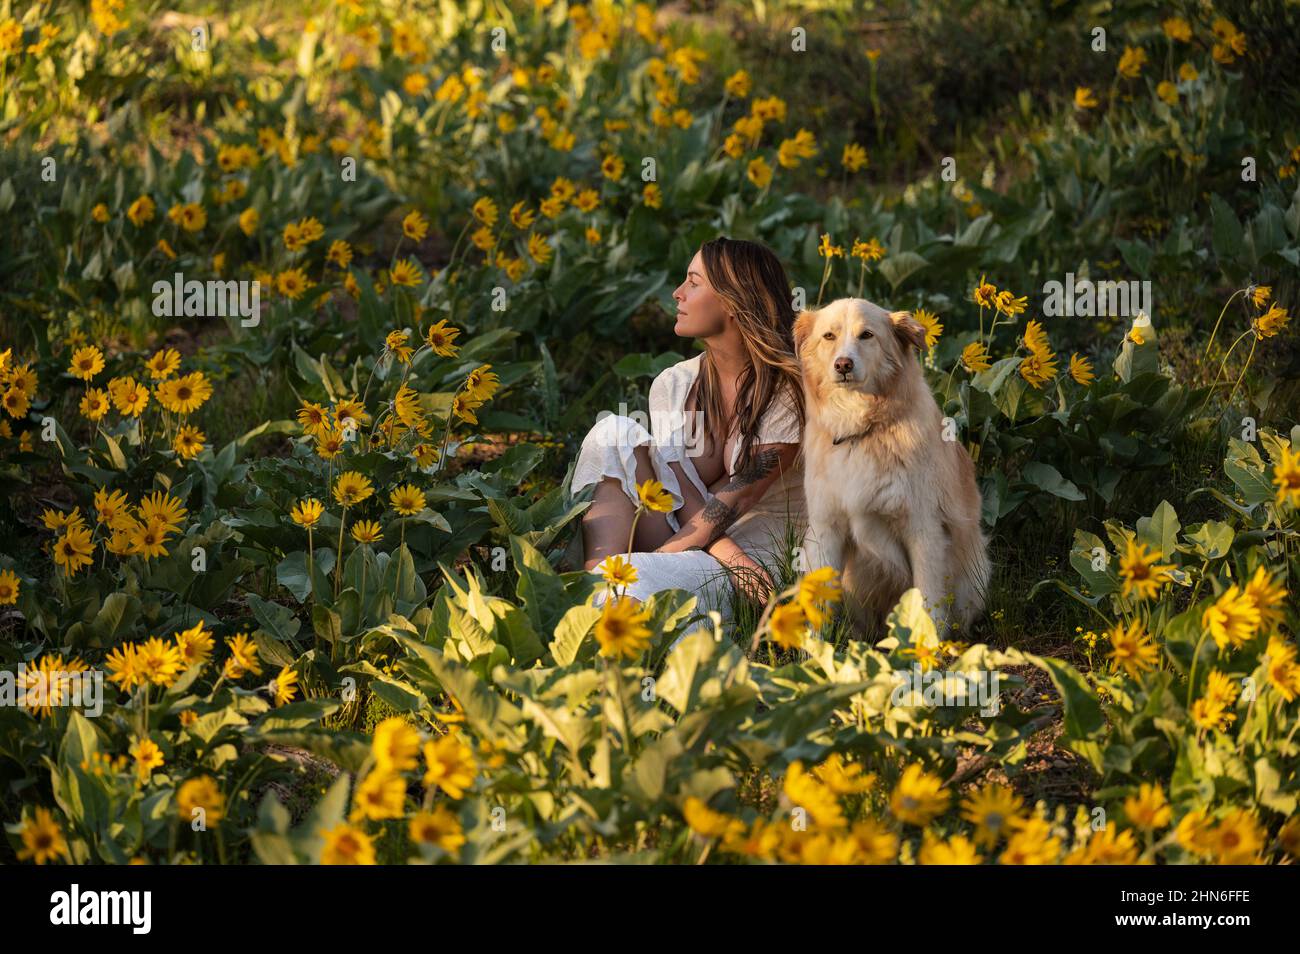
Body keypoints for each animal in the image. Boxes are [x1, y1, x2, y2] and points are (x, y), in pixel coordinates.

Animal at [790, 295, 993, 631]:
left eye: (867, 335)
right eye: (829, 336)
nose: (843, 365)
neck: (860, 432)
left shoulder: (924, 530)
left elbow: (928, 604)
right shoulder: (826, 530)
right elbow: (819, 607)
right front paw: (813, 647)